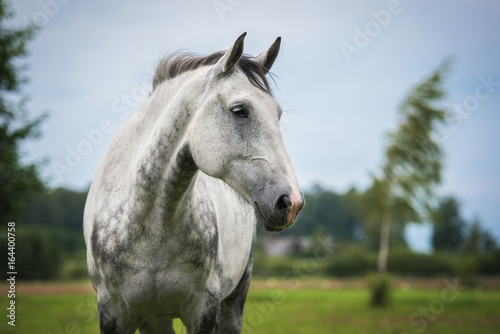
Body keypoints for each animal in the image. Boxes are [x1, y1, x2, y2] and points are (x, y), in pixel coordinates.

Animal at [85, 33, 304, 334]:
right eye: (239, 110)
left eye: (278, 113)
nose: (291, 203)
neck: (152, 227)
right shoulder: (113, 314)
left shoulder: (204, 310)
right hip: (155, 319)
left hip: (234, 301)